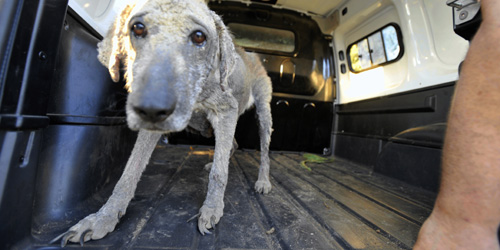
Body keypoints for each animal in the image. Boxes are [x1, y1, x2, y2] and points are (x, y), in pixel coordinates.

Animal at [53, 0, 274, 246]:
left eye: (199, 36)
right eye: (138, 28)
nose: (151, 105)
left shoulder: (226, 110)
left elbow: (219, 173)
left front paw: (212, 209)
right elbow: (129, 173)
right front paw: (104, 217)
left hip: (263, 112)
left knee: (263, 151)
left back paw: (263, 181)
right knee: (231, 145)